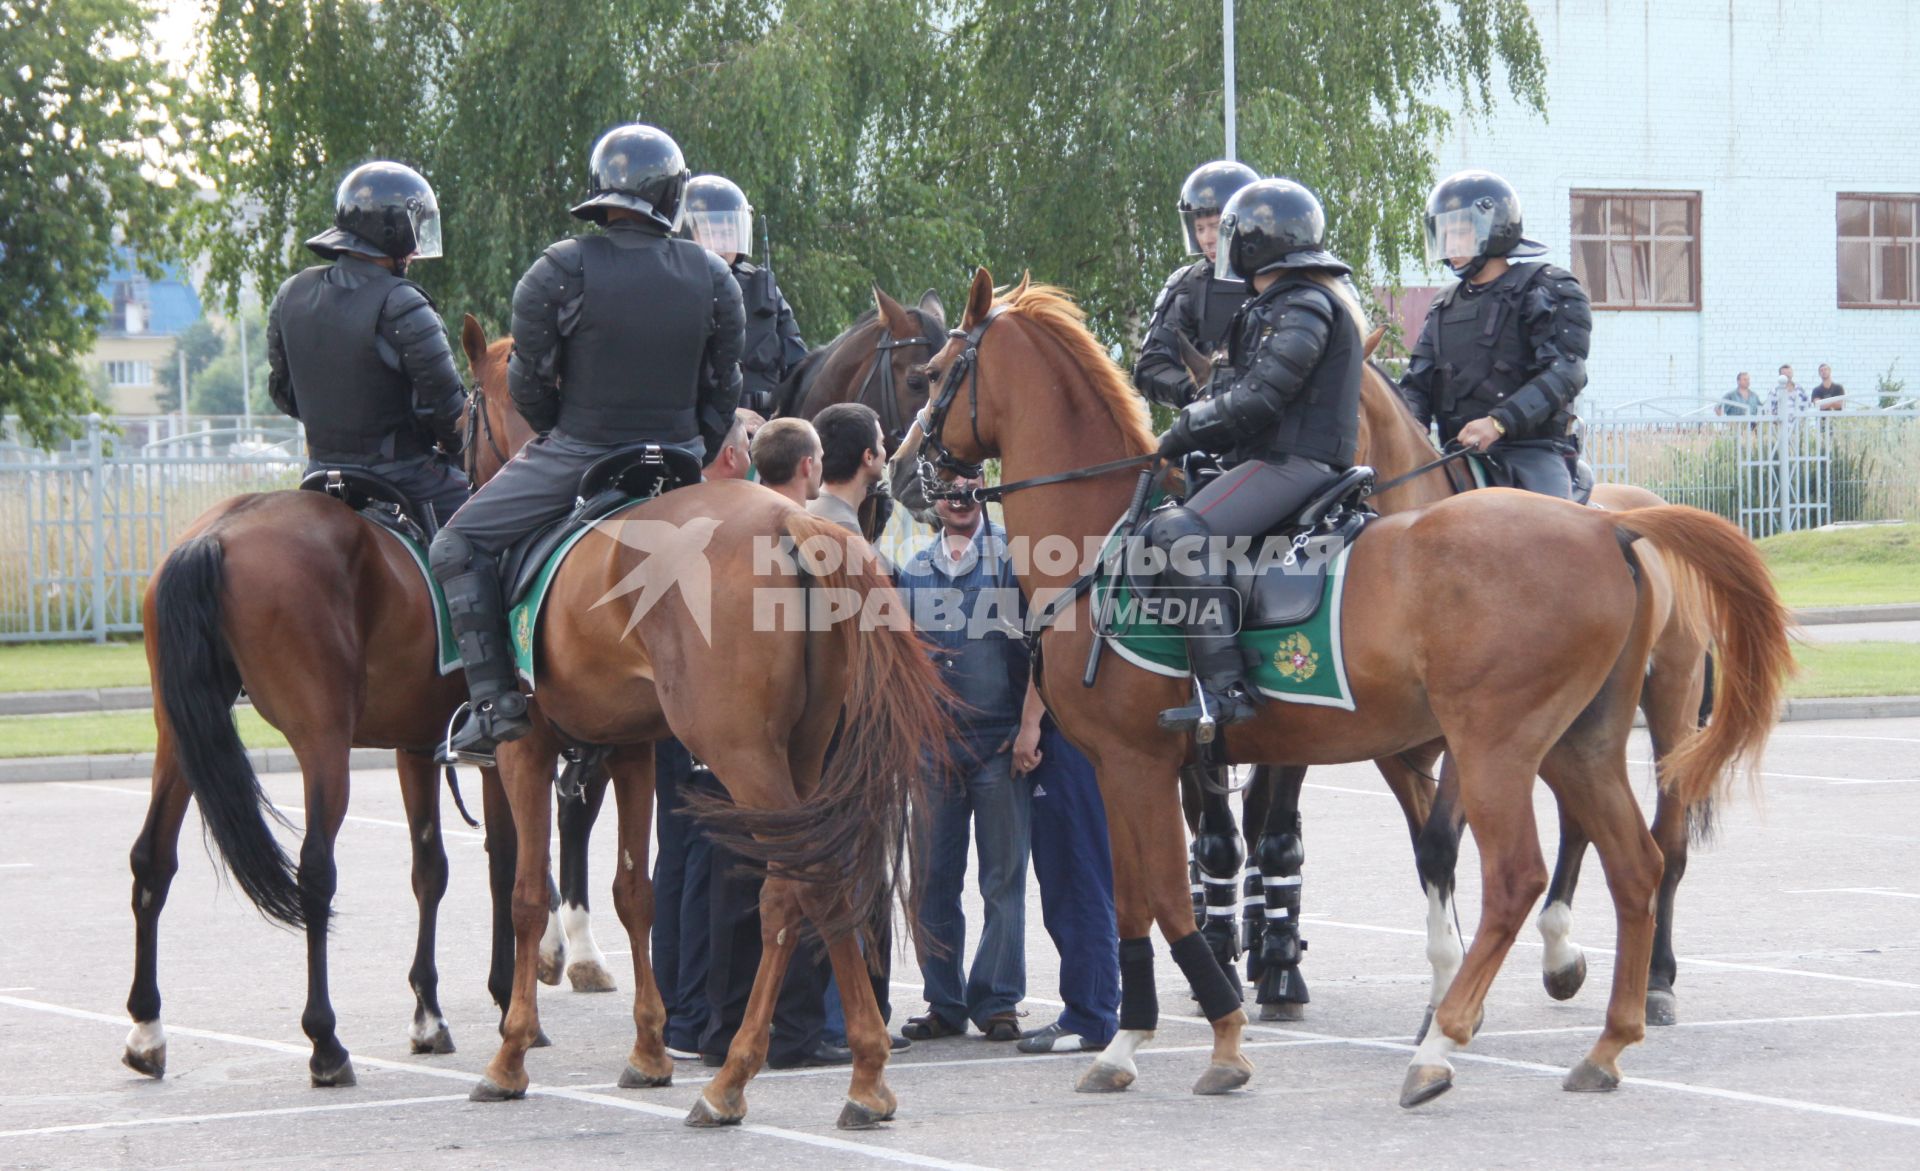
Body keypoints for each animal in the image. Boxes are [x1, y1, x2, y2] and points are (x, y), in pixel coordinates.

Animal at [458, 326, 952, 1121]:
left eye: (466, 411)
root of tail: (789, 518)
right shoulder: (629, 750)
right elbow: (636, 893)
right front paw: (650, 1050)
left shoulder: (525, 748)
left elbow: (527, 895)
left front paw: (510, 1054)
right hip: (801, 751)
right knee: (803, 885)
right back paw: (840, 1074)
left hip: (741, 753)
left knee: (799, 878)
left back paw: (757, 1078)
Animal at [890, 270, 1789, 1105]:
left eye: (935, 373)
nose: (903, 471)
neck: (1101, 537)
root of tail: (1610, 526)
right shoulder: (1177, 768)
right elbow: (1163, 894)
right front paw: (1165, 1032)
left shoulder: (1133, 763)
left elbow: (1157, 902)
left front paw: (1191, 1036)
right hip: (1579, 744)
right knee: (1633, 864)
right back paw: (1605, 1041)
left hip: (1505, 746)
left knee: (1524, 878)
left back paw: (1444, 1044)